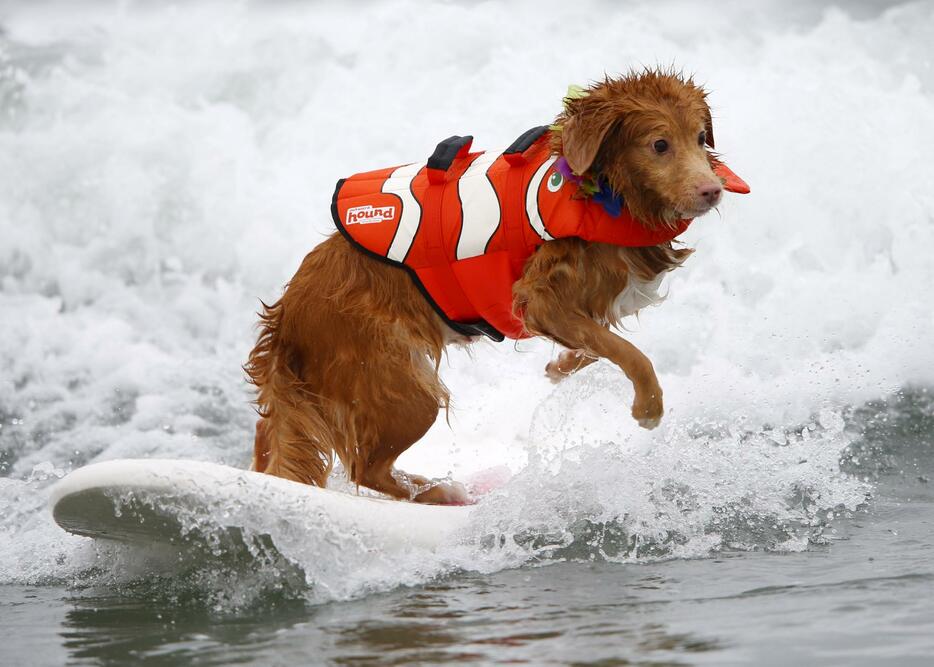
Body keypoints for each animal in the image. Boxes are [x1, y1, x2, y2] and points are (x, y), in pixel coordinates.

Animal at [247, 70, 744, 504]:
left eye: (701, 138)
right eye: (659, 144)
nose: (712, 190)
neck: (607, 190)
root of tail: (286, 318)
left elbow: (594, 342)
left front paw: (559, 366)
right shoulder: (540, 298)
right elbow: (629, 352)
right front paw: (648, 406)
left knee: (277, 441)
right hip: (404, 388)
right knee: (365, 468)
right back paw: (439, 493)